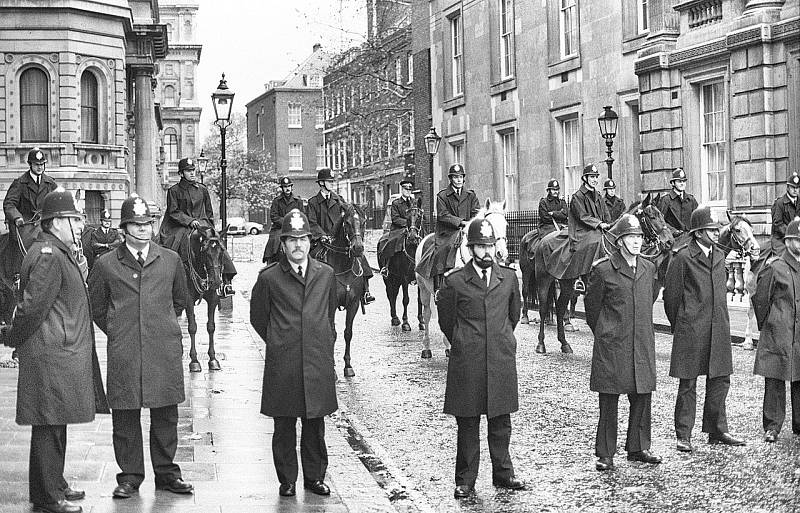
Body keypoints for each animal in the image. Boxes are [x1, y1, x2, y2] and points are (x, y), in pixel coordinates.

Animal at [380, 196, 424, 332]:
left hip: (396, 278)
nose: (412, 238)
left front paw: (421, 321)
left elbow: (420, 299)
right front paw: (406, 323)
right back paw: (395, 318)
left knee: (394, 294)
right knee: (391, 294)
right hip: (389, 278)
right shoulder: (404, 277)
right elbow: (406, 299)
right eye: (407, 217)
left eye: (419, 216)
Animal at [416, 198, 510, 358]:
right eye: (489, 225)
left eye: (505, 225)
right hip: (423, 288)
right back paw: (426, 348)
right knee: (427, 314)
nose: (501, 254)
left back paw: (447, 346)